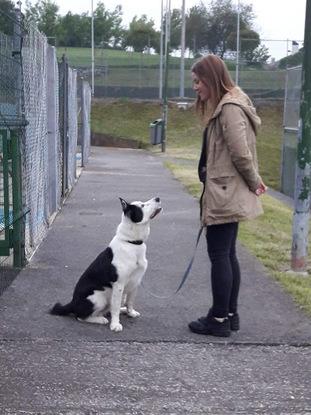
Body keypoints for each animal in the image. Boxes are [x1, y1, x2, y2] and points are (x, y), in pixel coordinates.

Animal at [50, 197, 162, 332]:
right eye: (142, 206)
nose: (158, 198)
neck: (131, 242)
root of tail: (72, 303)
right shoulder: (119, 285)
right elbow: (116, 307)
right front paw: (115, 324)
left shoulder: (135, 282)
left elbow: (130, 301)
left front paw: (130, 312)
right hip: (98, 298)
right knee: (81, 316)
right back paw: (100, 319)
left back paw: (120, 311)